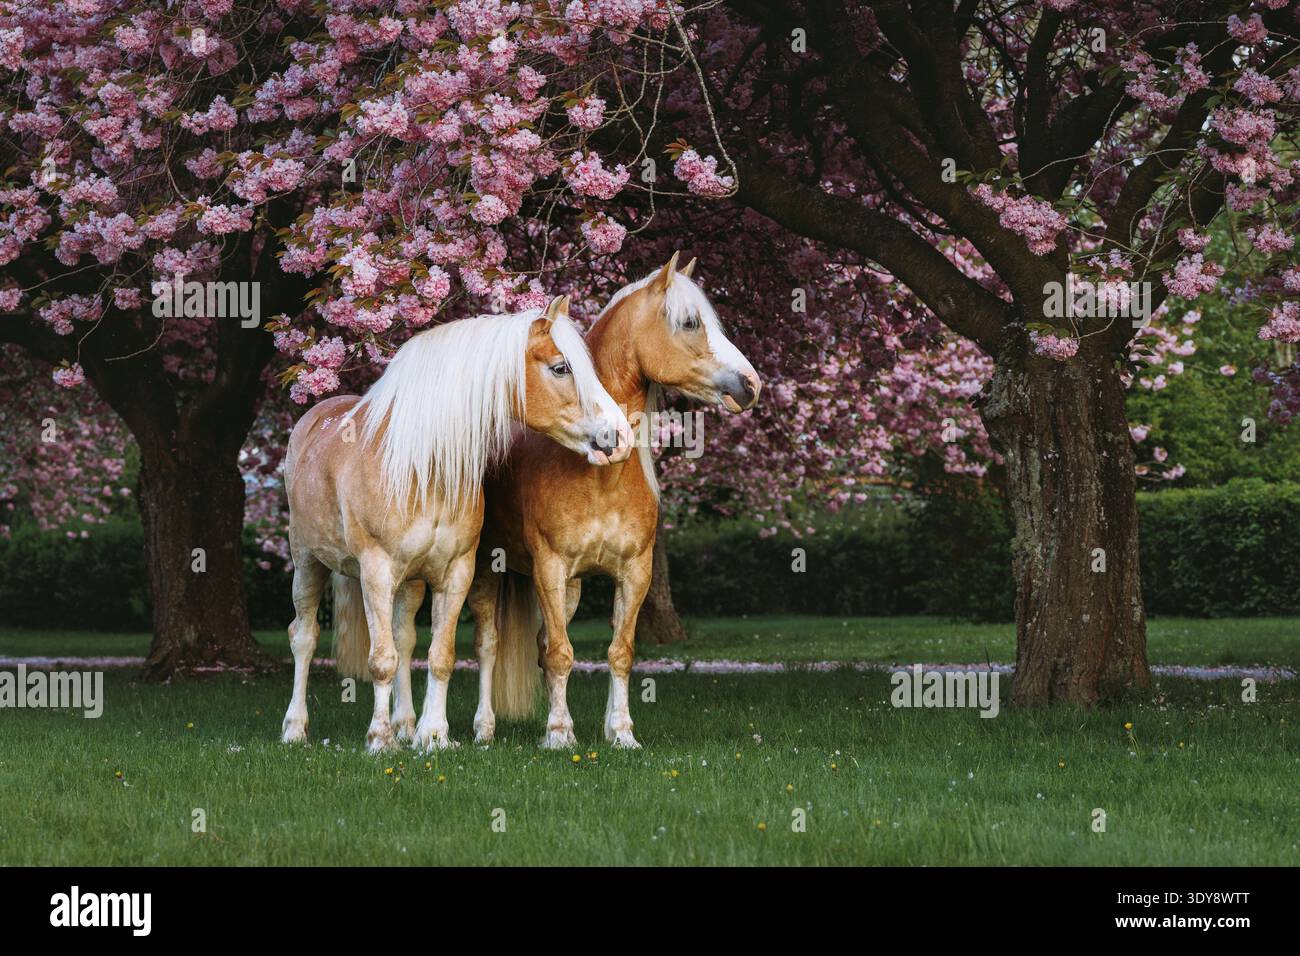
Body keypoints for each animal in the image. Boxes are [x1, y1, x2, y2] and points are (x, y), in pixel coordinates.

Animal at [279, 296, 632, 754]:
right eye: (560, 368)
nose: (618, 436)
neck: (421, 467)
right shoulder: (375, 571)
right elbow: (381, 660)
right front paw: (380, 741)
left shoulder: (455, 572)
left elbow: (439, 656)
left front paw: (433, 736)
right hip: (307, 561)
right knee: (303, 637)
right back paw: (295, 729)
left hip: (410, 583)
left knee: (404, 637)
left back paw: (406, 725)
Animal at [462, 252, 762, 748]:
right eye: (690, 322)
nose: (750, 384)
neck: (600, 475)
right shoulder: (549, 568)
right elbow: (560, 655)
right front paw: (560, 736)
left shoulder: (633, 573)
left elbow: (618, 652)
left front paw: (620, 733)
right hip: (488, 570)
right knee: (488, 645)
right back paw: (484, 730)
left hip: (570, 590)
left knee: (542, 646)